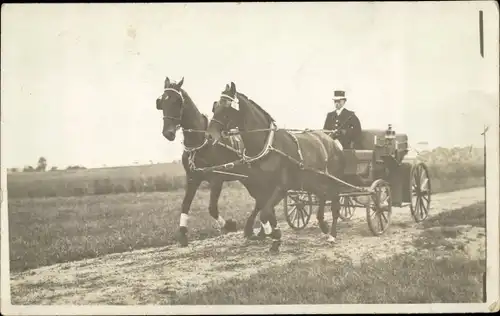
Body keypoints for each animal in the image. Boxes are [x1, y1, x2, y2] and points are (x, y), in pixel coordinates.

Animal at [156, 77, 278, 247]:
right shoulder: (192, 178)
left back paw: (257, 229)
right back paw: (260, 229)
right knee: (262, 199)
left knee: (262, 199)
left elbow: (212, 208)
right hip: (249, 179)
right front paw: (182, 234)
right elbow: (185, 204)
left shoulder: (216, 179)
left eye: (177, 101)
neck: (200, 141)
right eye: (162, 102)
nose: (168, 133)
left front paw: (230, 225)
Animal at [205, 82, 346, 253]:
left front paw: (271, 234)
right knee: (322, 196)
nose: (209, 136)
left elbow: (265, 213)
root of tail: (333, 141)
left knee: (335, 204)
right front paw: (273, 236)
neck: (268, 147)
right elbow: (267, 211)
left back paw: (332, 234)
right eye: (215, 106)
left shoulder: (280, 188)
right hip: (312, 181)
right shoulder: (262, 188)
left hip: (333, 181)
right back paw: (323, 225)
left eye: (227, 108)